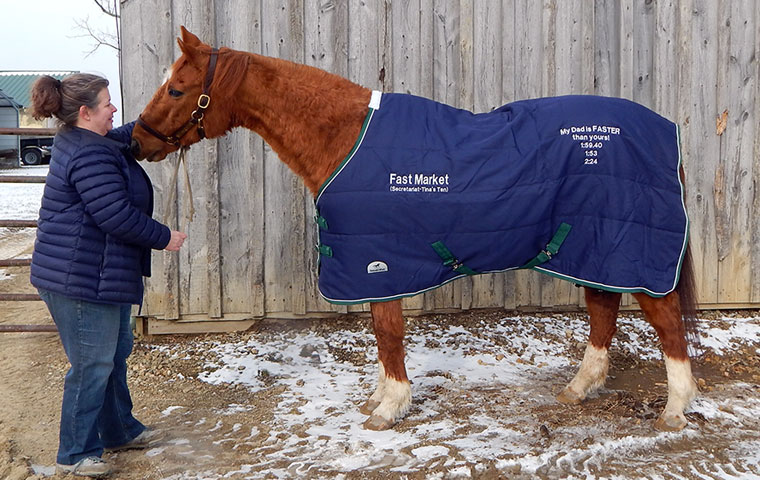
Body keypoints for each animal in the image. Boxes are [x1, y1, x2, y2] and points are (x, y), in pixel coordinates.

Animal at [134, 26, 696, 432]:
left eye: (177, 88)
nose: (138, 141)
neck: (345, 138)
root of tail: (664, 130)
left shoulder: (380, 263)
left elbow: (387, 333)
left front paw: (390, 407)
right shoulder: (377, 265)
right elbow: (382, 335)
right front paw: (383, 398)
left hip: (637, 251)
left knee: (666, 321)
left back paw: (675, 409)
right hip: (596, 247)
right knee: (603, 310)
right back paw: (581, 387)